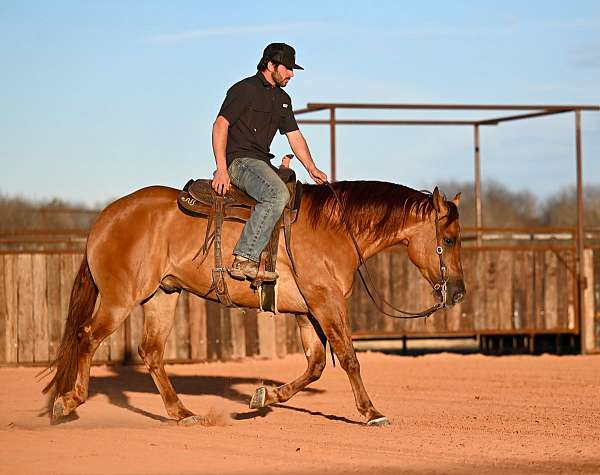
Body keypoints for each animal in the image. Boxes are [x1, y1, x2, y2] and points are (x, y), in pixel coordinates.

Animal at [42, 180, 466, 426]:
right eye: (450, 238)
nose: (459, 291)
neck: (335, 228)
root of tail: (106, 217)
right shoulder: (326, 303)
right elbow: (348, 357)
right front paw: (371, 412)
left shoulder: (306, 311)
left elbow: (315, 365)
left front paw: (263, 397)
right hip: (120, 298)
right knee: (86, 337)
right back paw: (68, 403)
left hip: (161, 295)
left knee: (151, 352)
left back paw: (181, 413)